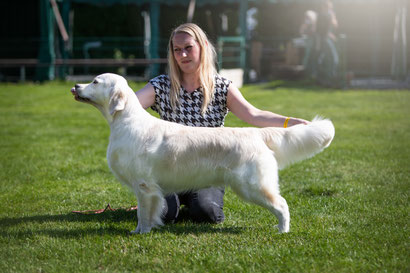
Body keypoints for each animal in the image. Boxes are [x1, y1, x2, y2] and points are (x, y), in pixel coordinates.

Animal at [69, 73, 334, 233]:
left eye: (95, 82)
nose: (75, 86)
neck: (125, 121)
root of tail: (256, 133)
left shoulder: (144, 186)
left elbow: (143, 213)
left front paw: (140, 232)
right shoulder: (149, 188)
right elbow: (151, 212)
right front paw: (144, 229)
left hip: (252, 185)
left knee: (282, 204)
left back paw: (283, 230)